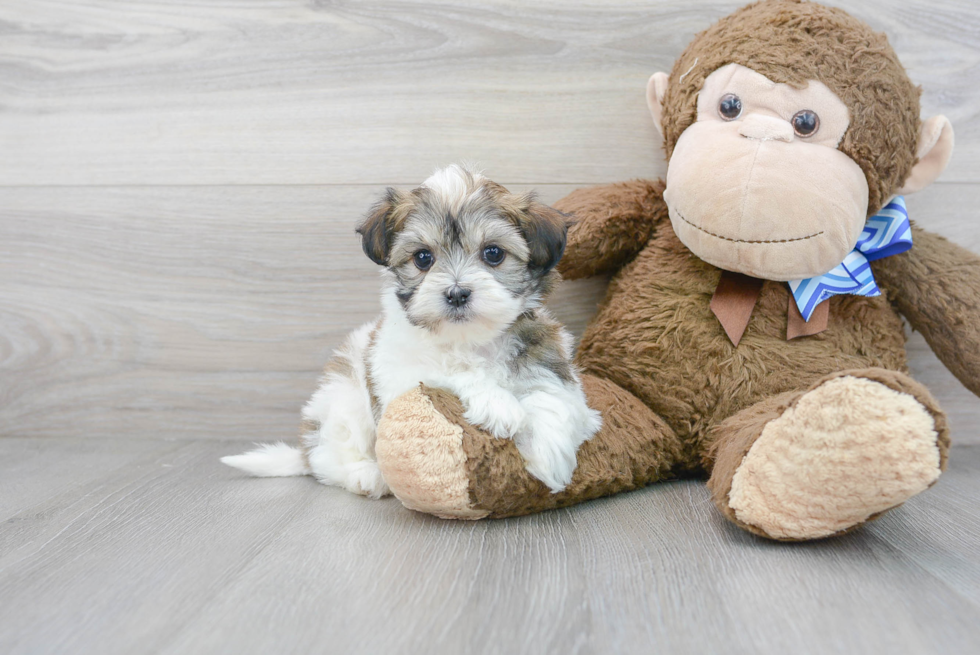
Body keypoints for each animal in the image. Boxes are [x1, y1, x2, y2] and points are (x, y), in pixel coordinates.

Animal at [223, 164, 600, 498]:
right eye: (422, 258)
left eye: (493, 253)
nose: (457, 293)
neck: (468, 341)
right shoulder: (400, 375)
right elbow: (449, 373)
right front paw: (498, 404)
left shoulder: (545, 353)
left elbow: (553, 394)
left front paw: (549, 455)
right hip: (344, 400)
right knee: (329, 458)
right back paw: (366, 475)